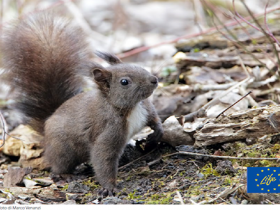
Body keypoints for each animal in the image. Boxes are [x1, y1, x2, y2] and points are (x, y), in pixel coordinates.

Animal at [2, 13, 163, 197]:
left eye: (138, 66)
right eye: (124, 82)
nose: (154, 79)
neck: (131, 107)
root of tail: (47, 124)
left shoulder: (146, 108)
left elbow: (154, 118)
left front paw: (157, 133)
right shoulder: (108, 130)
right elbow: (102, 157)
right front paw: (109, 187)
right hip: (63, 149)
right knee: (58, 165)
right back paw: (65, 176)